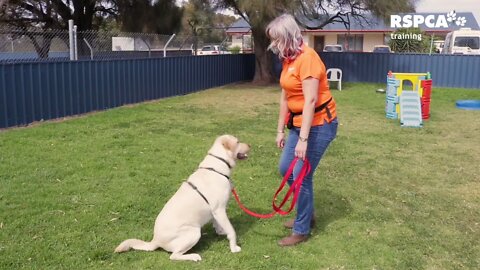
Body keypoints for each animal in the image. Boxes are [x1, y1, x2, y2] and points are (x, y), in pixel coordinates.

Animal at [115, 135, 251, 262]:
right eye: (238, 141)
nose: (250, 145)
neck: (216, 168)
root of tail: (155, 240)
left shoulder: (216, 211)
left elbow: (218, 224)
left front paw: (221, 232)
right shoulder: (219, 210)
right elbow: (232, 231)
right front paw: (234, 248)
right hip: (194, 232)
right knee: (174, 256)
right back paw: (193, 256)